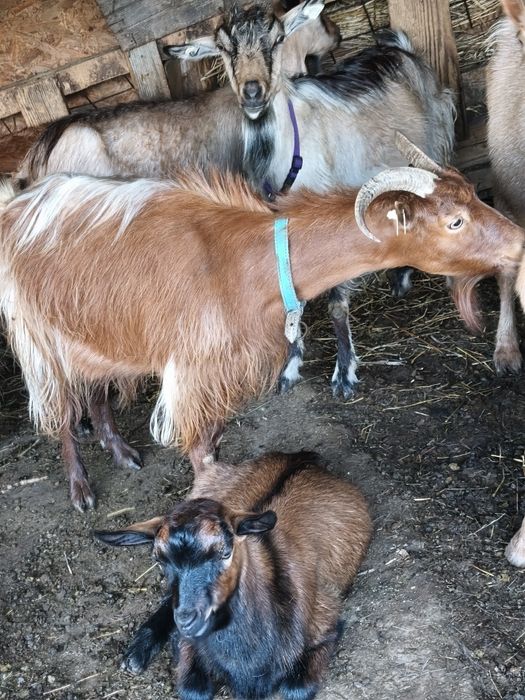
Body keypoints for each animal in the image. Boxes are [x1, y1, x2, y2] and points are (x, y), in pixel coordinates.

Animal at [1, 136, 524, 509]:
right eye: (455, 222)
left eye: (474, 194)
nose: (519, 241)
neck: (241, 261)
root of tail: (16, 205)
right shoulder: (192, 371)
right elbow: (199, 448)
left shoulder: (227, 369)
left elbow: (215, 437)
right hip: (38, 338)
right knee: (60, 409)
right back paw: (81, 489)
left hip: (91, 331)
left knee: (94, 390)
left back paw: (122, 453)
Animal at [94, 451, 372, 699]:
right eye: (159, 560)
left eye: (226, 552)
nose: (187, 620)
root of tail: (300, 457)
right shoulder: (189, 646)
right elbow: (192, 689)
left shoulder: (326, 622)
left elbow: (297, 689)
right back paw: (136, 655)